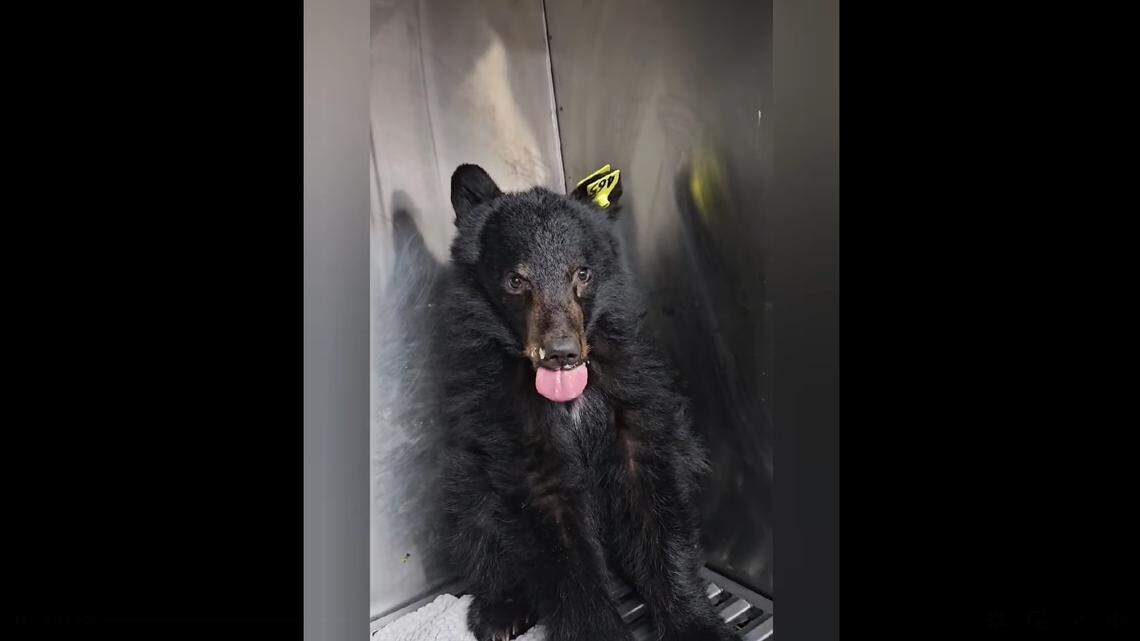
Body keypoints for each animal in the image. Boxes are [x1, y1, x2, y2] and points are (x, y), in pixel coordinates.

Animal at [438, 164, 737, 641]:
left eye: (582, 273)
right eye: (516, 280)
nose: (561, 353)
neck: (570, 397)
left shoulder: (635, 398)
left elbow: (657, 509)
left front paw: (698, 626)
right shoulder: (512, 427)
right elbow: (558, 543)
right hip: (466, 476)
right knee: (472, 519)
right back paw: (501, 610)